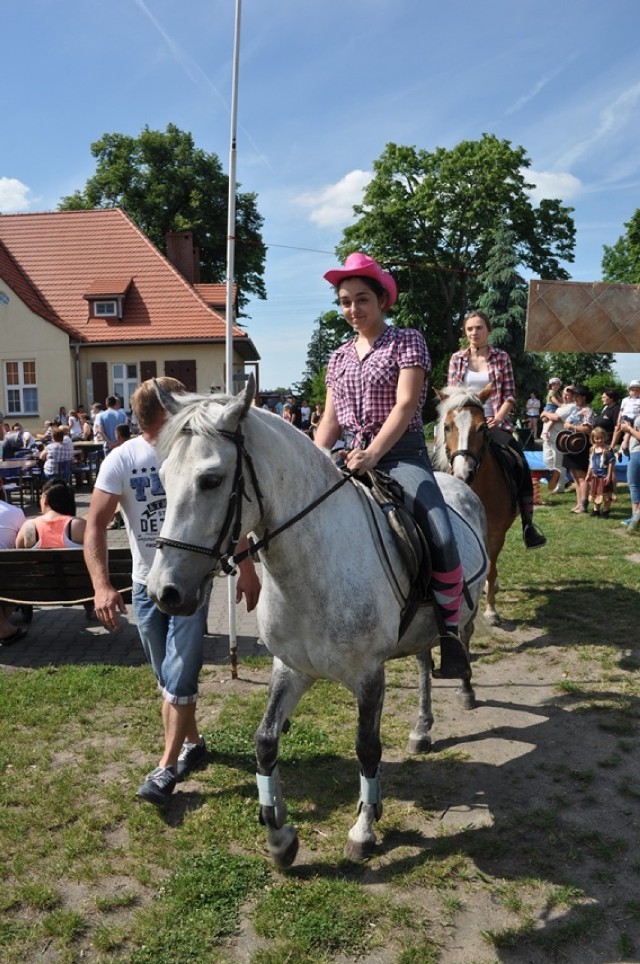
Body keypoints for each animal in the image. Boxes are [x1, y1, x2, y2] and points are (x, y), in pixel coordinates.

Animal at [148, 374, 488, 868]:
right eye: (161, 478)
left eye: (210, 480)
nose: (164, 592)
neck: (312, 568)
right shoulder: (290, 668)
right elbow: (265, 742)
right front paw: (279, 835)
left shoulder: (368, 675)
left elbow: (367, 748)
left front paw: (364, 827)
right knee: (425, 662)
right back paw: (422, 729)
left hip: (462, 610)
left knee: (457, 639)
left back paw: (463, 687)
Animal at [432, 384, 516, 624]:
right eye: (447, 427)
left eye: (482, 427)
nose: (463, 473)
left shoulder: (496, 533)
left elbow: (491, 569)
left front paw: (492, 611)